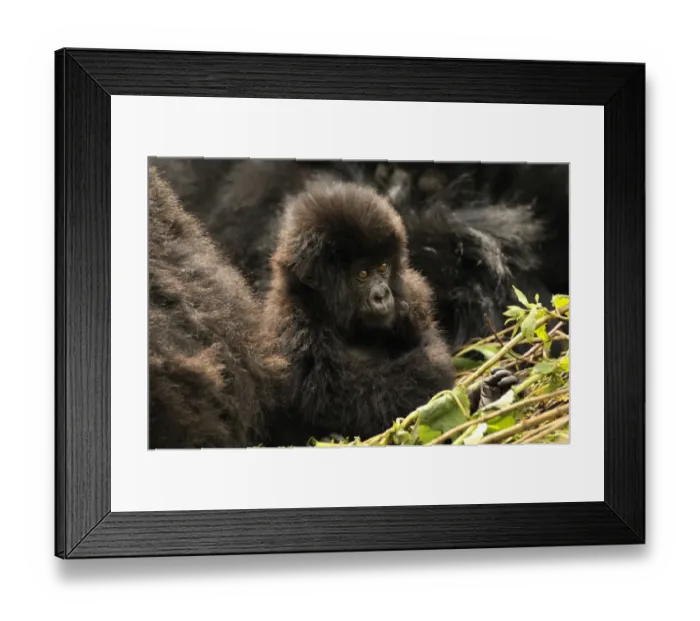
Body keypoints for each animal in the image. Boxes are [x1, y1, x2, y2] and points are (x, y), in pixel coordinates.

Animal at [260, 181, 518, 446]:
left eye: (383, 267)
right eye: (362, 274)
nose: (382, 295)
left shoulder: (414, 295)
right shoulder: (295, 329)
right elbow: (347, 399)